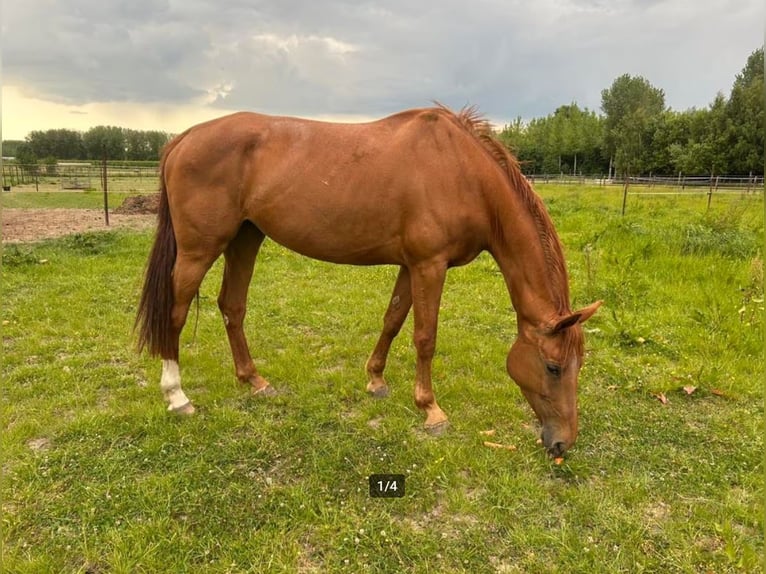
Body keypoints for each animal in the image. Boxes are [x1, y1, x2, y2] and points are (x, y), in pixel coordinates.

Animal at [136, 105, 601, 457]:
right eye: (553, 366)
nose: (562, 444)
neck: (462, 172)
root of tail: (184, 138)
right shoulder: (429, 265)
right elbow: (425, 337)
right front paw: (430, 410)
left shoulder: (411, 266)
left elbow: (392, 320)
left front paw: (376, 380)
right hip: (199, 249)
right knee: (176, 311)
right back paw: (177, 397)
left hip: (245, 238)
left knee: (232, 305)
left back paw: (255, 382)